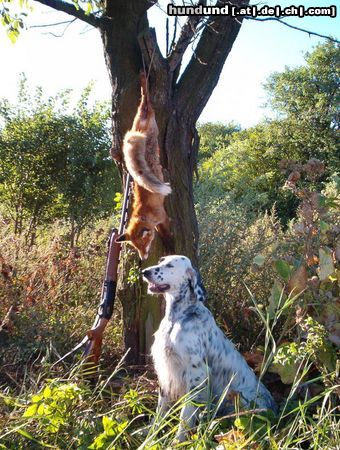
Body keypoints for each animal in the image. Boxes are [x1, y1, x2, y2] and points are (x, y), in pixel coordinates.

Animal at [117, 74, 175, 260]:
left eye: (144, 244)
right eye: (136, 247)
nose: (143, 258)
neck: (144, 213)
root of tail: (138, 130)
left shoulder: (163, 217)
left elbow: (166, 234)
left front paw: (170, 245)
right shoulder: (157, 222)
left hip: (151, 125)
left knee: (147, 99)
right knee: (145, 96)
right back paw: (144, 78)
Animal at [141, 255, 276, 442]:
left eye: (170, 265)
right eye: (161, 261)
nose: (144, 272)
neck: (177, 318)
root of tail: (274, 407)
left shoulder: (196, 374)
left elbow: (186, 413)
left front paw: (178, 440)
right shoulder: (166, 371)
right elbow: (160, 410)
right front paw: (150, 433)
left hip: (238, 397)